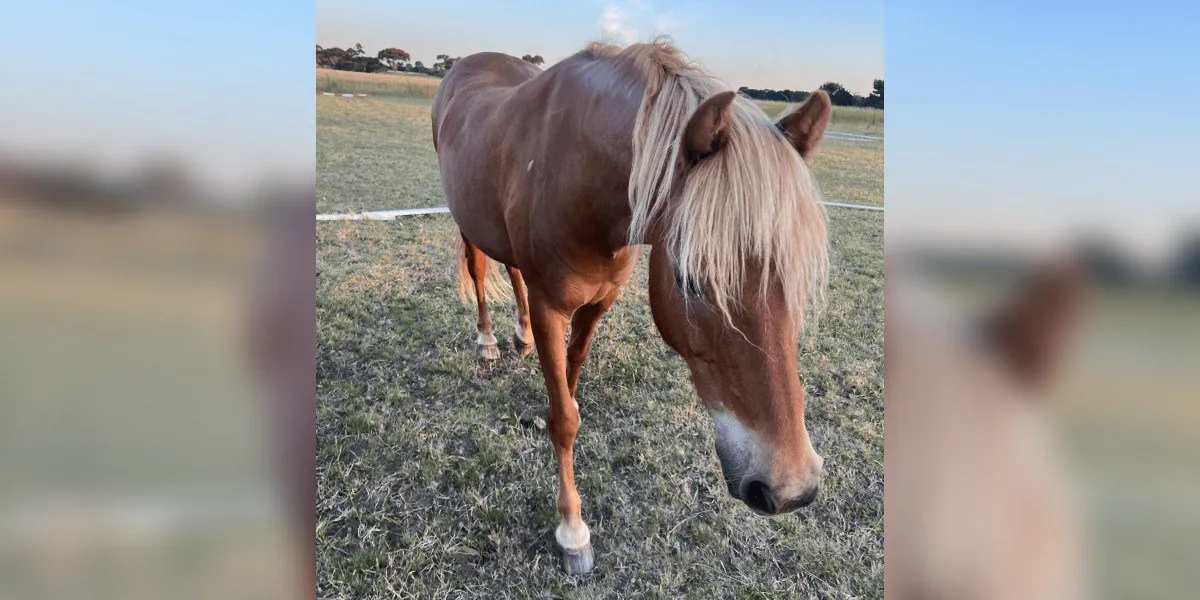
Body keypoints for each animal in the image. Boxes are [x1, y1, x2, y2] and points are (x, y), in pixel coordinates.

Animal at [431, 39, 831, 574]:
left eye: (798, 279)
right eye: (689, 279)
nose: (791, 488)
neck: (579, 173)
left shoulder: (599, 303)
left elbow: (569, 383)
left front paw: (545, 407)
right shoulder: (551, 307)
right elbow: (566, 419)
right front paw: (572, 530)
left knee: (511, 269)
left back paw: (519, 334)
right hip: (467, 223)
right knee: (478, 269)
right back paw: (489, 340)